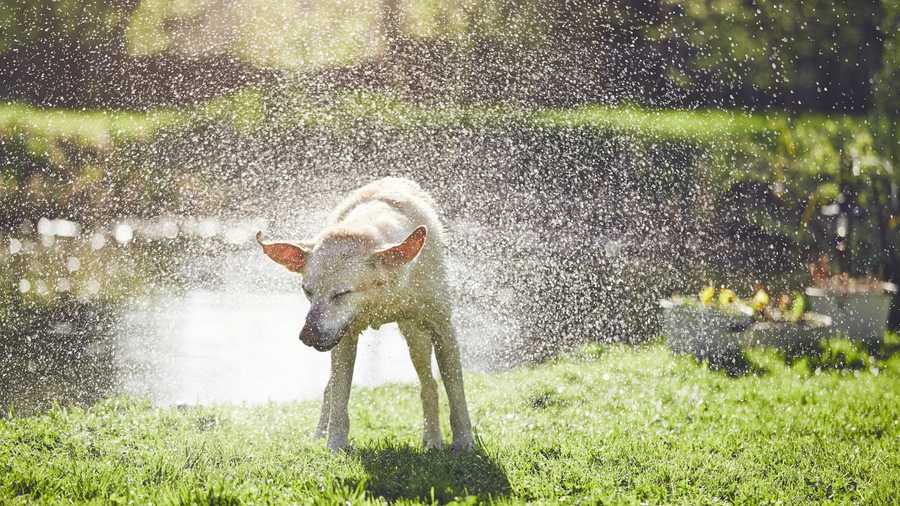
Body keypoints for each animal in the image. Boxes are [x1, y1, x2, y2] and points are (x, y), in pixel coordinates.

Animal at [256, 177, 474, 450]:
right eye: (307, 291)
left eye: (341, 293)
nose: (307, 336)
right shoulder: (343, 337)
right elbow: (339, 396)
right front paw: (335, 445)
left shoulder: (442, 327)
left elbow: (456, 391)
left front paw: (464, 442)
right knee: (331, 388)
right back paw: (320, 434)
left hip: (416, 335)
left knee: (429, 385)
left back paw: (432, 440)